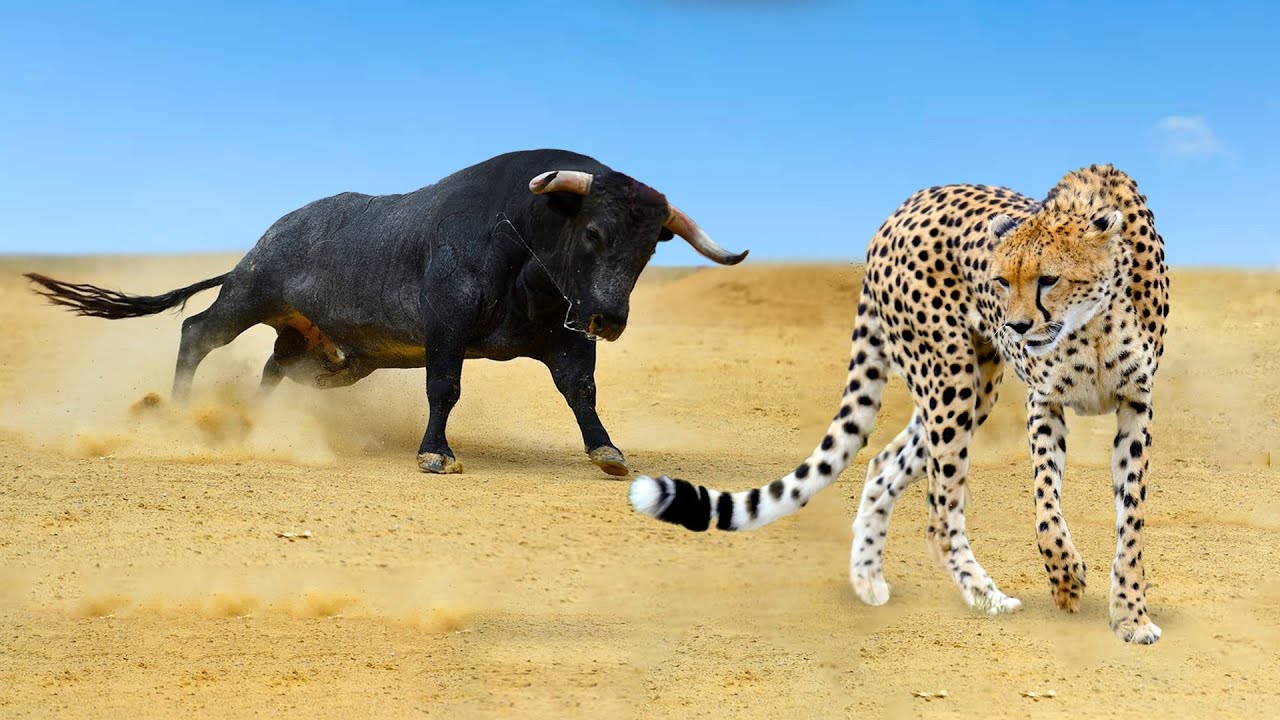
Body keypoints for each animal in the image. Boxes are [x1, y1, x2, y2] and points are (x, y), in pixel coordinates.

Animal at [628, 164, 1170, 644]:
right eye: (1001, 280)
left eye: (1049, 279)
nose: (1015, 326)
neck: (1094, 320)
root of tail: (900, 210)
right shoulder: (1044, 402)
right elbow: (1046, 508)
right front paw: (1066, 578)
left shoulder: (1135, 407)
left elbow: (1132, 525)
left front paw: (1131, 616)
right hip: (950, 376)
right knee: (940, 517)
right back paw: (987, 596)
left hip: (974, 385)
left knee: (883, 463)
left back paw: (867, 578)